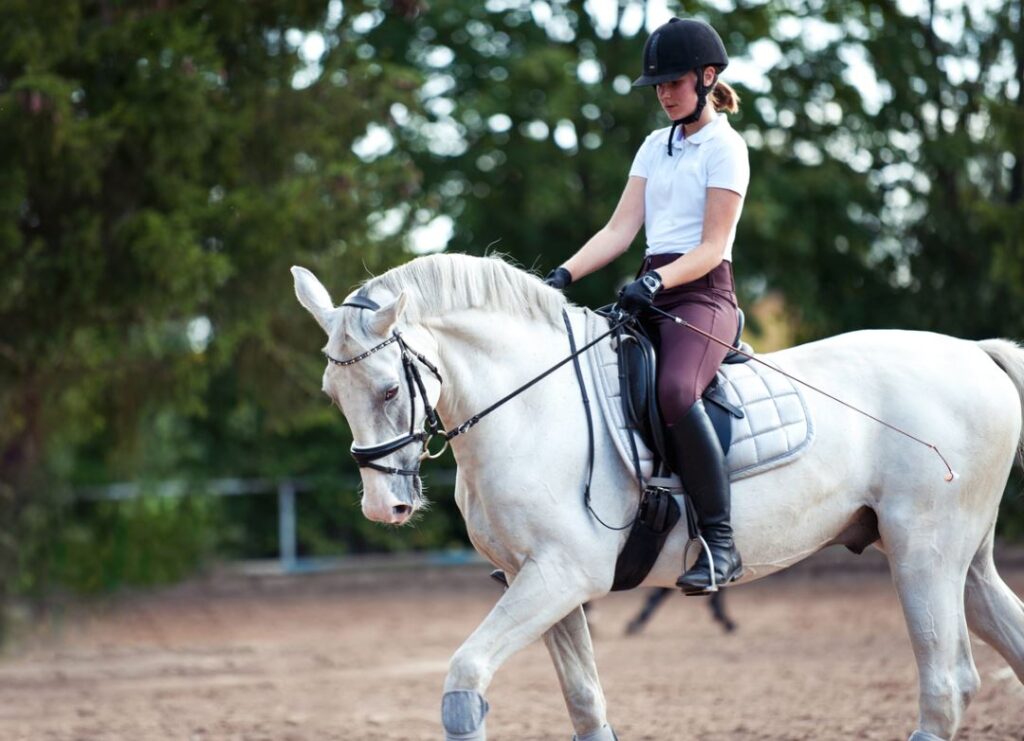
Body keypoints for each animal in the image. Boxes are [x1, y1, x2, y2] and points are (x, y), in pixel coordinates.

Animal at [290, 252, 1024, 741]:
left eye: (389, 388)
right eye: (330, 394)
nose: (384, 507)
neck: (529, 408)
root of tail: (975, 352)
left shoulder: (563, 575)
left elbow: (464, 680)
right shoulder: (539, 582)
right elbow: (586, 704)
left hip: (922, 553)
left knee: (946, 686)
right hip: (959, 560)